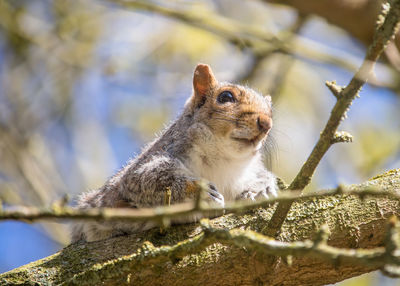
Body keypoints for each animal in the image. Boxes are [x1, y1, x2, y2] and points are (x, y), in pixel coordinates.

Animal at [72, 64, 276, 241]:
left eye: (271, 111)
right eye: (226, 97)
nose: (266, 123)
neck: (224, 158)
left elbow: (261, 178)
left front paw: (259, 190)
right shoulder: (144, 169)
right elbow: (147, 179)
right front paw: (199, 193)